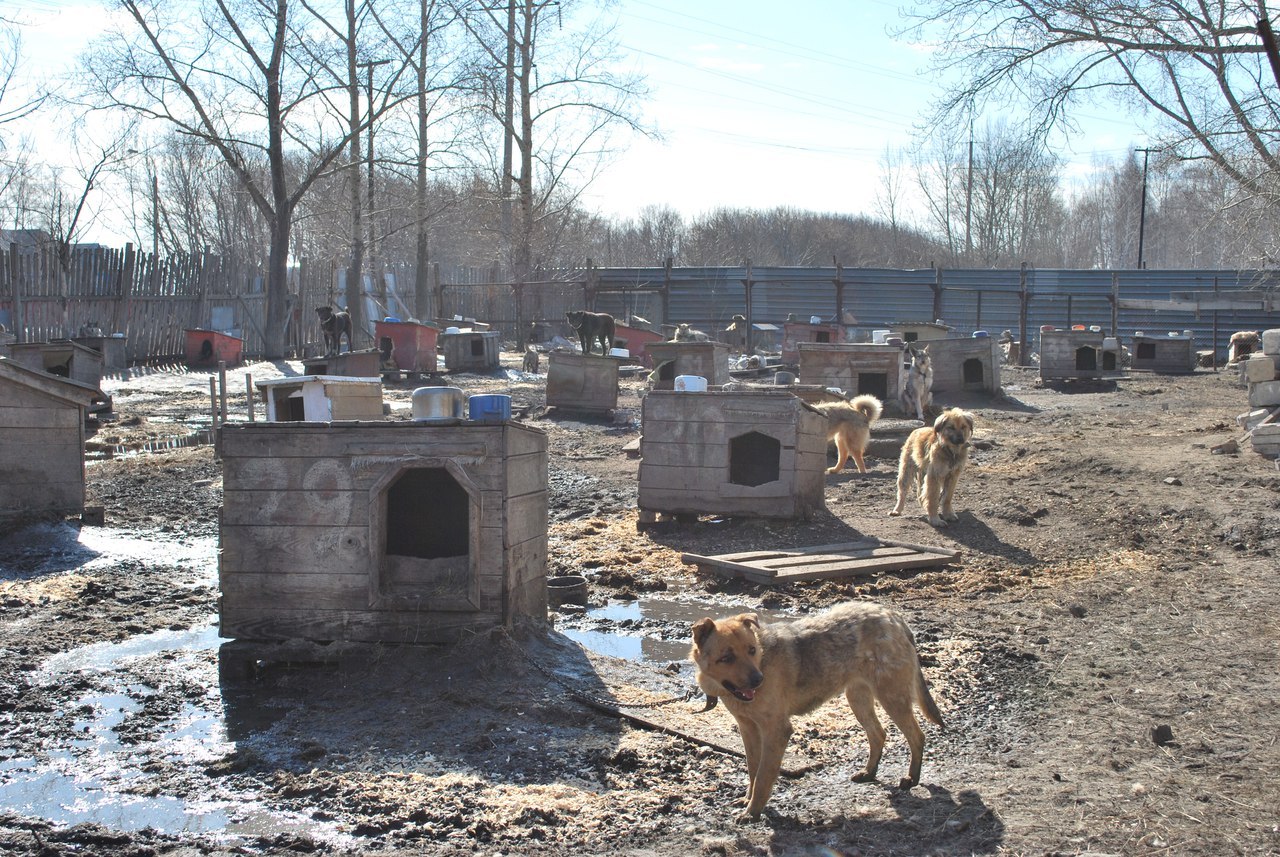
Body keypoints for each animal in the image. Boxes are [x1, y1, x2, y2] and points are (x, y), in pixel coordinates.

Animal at [696, 601, 947, 823]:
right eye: (726, 658)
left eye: (751, 650)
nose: (759, 680)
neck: (762, 661)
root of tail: (893, 615)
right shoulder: (748, 729)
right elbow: (752, 770)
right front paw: (747, 800)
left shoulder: (776, 731)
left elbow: (764, 777)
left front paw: (753, 811)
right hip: (858, 699)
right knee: (879, 734)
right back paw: (869, 772)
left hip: (892, 697)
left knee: (917, 735)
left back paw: (912, 778)